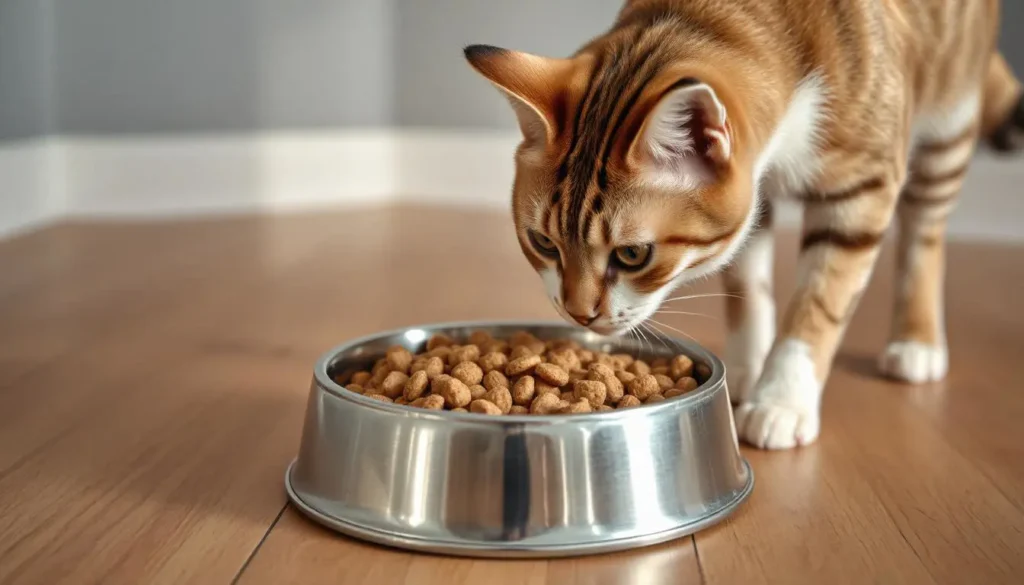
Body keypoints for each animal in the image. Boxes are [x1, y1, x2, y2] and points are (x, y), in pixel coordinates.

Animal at [466, 0, 1024, 452]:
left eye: (633, 254)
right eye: (543, 242)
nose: (579, 315)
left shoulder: (861, 190)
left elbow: (817, 305)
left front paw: (781, 400)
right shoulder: (753, 204)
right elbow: (746, 286)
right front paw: (749, 368)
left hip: (948, 128)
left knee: (923, 234)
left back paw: (917, 343)